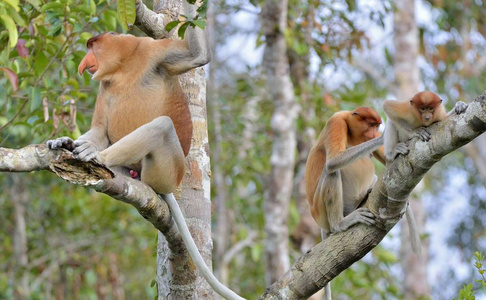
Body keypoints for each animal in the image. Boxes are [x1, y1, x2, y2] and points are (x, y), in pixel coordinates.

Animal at [46, 2, 245, 300]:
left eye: (93, 46)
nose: (85, 61)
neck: (124, 66)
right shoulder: (105, 85)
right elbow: (99, 131)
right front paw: (64, 141)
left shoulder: (153, 51)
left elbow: (197, 57)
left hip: (166, 171)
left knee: (162, 126)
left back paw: (97, 158)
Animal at [304, 106, 388, 298]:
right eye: (371, 125)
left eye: (376, 126)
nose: (375, 133)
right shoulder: (336, 122)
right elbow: (334, 160)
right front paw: (383, 137)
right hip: (320, 210)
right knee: (331, 171)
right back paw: (340, 224)